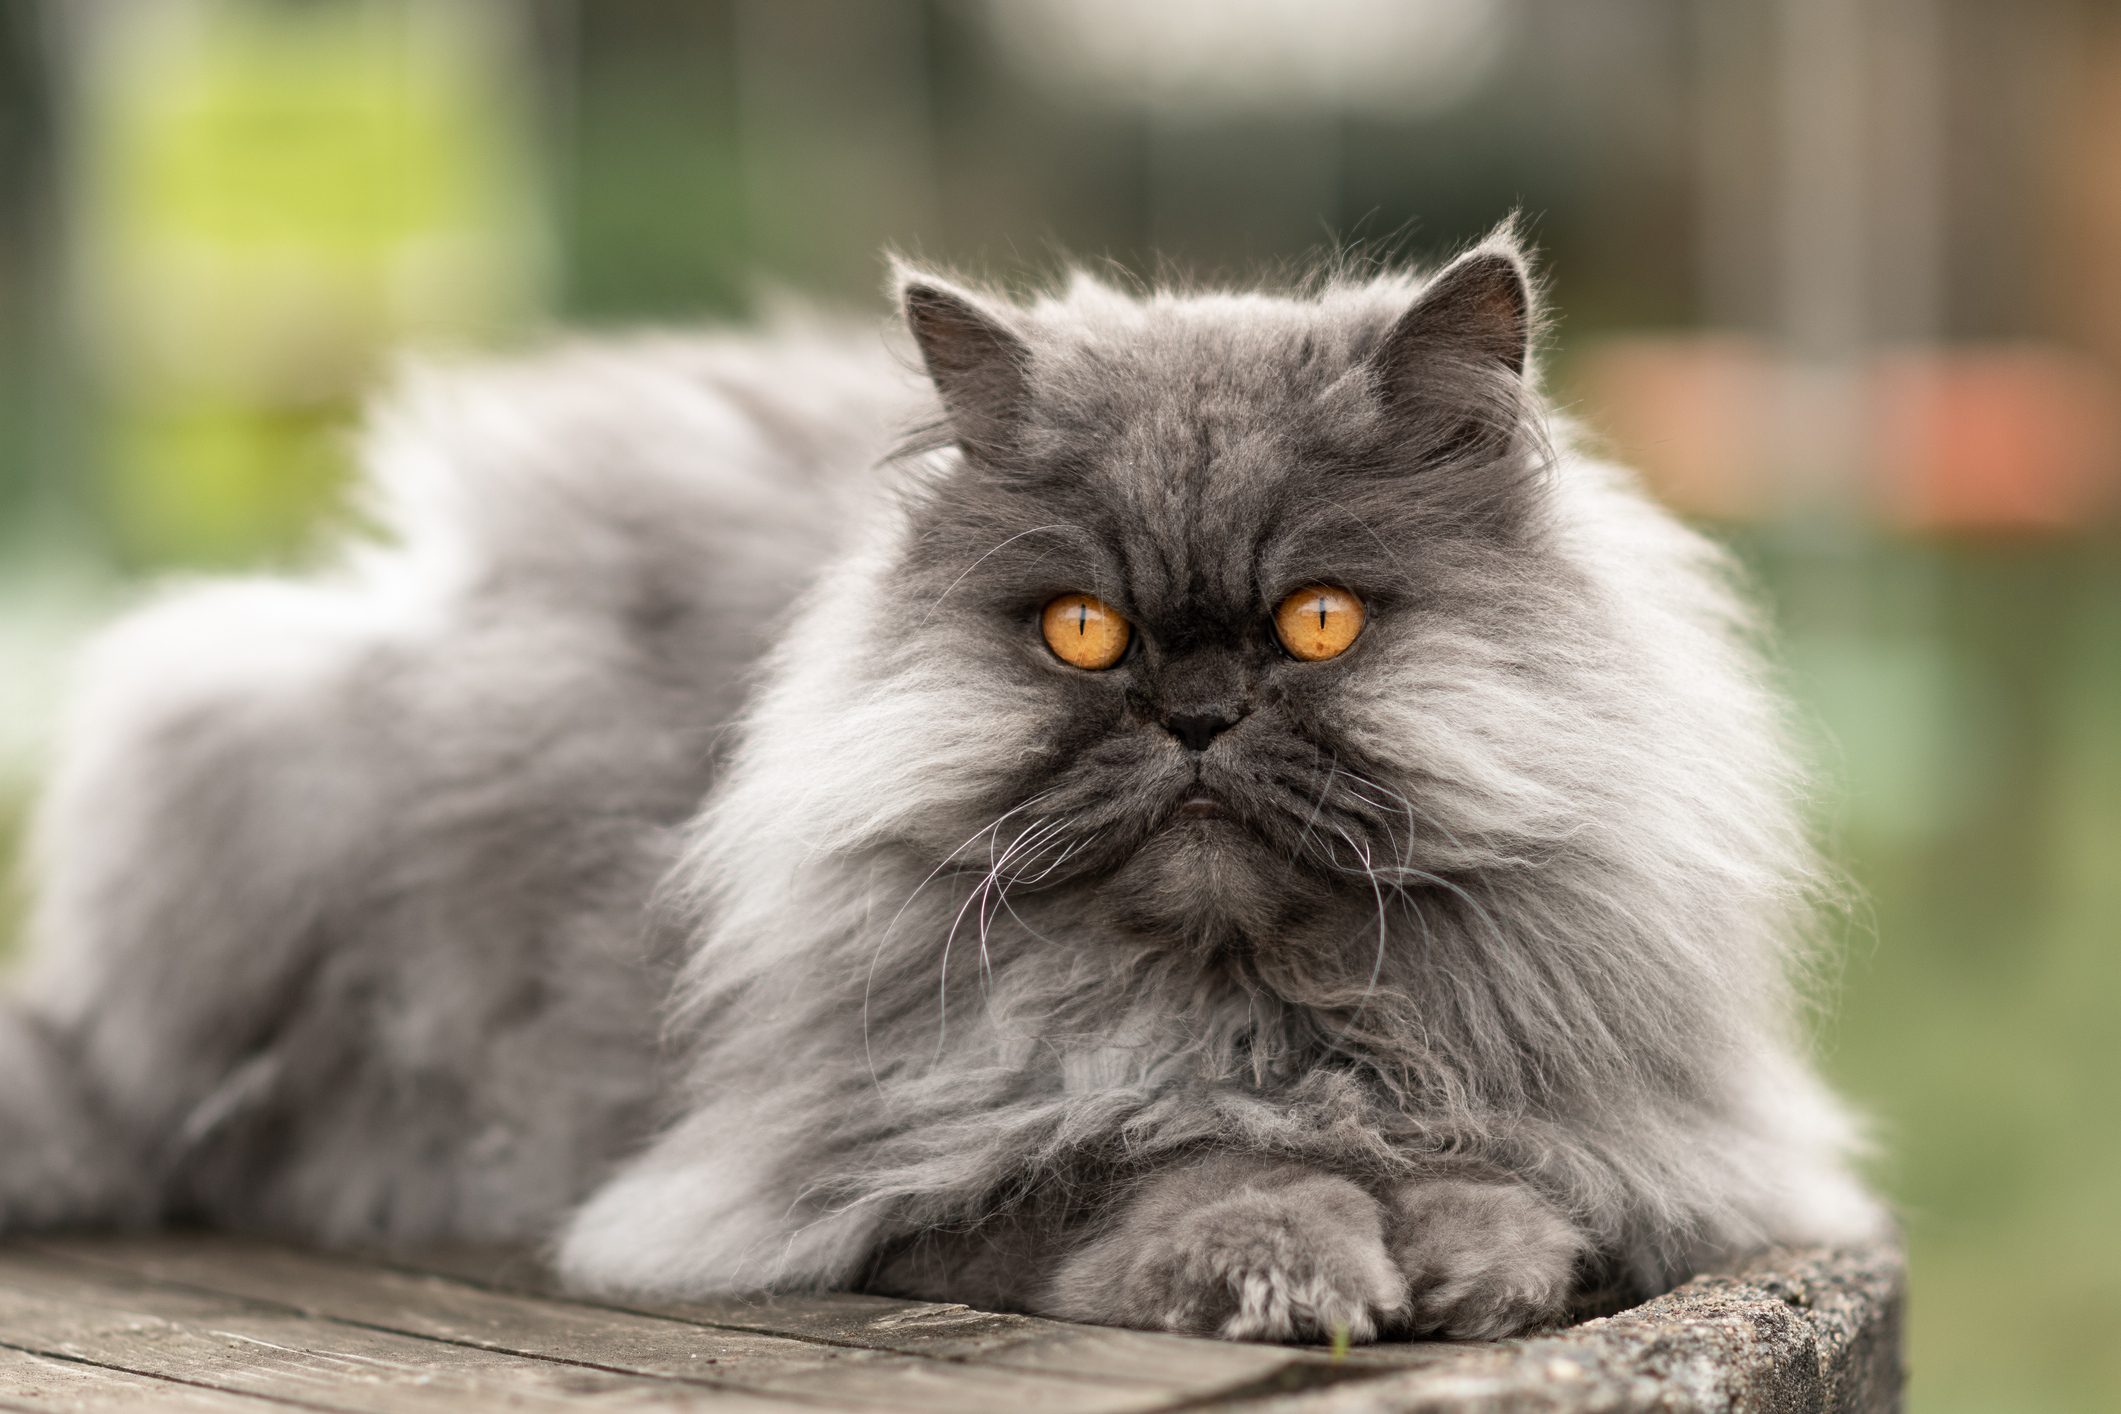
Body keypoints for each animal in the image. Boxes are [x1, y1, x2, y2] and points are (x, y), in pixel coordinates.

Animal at [0, 230, 1891, 1339]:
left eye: (1317, 620)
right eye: (1080, 629)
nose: (1193, 713)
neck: (1250, 1013)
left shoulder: (1643, 1144)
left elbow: (1527, 1188)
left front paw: (1467, 1258)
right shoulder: (854, 1167)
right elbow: (1155, 1165)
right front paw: (1297, 1262)